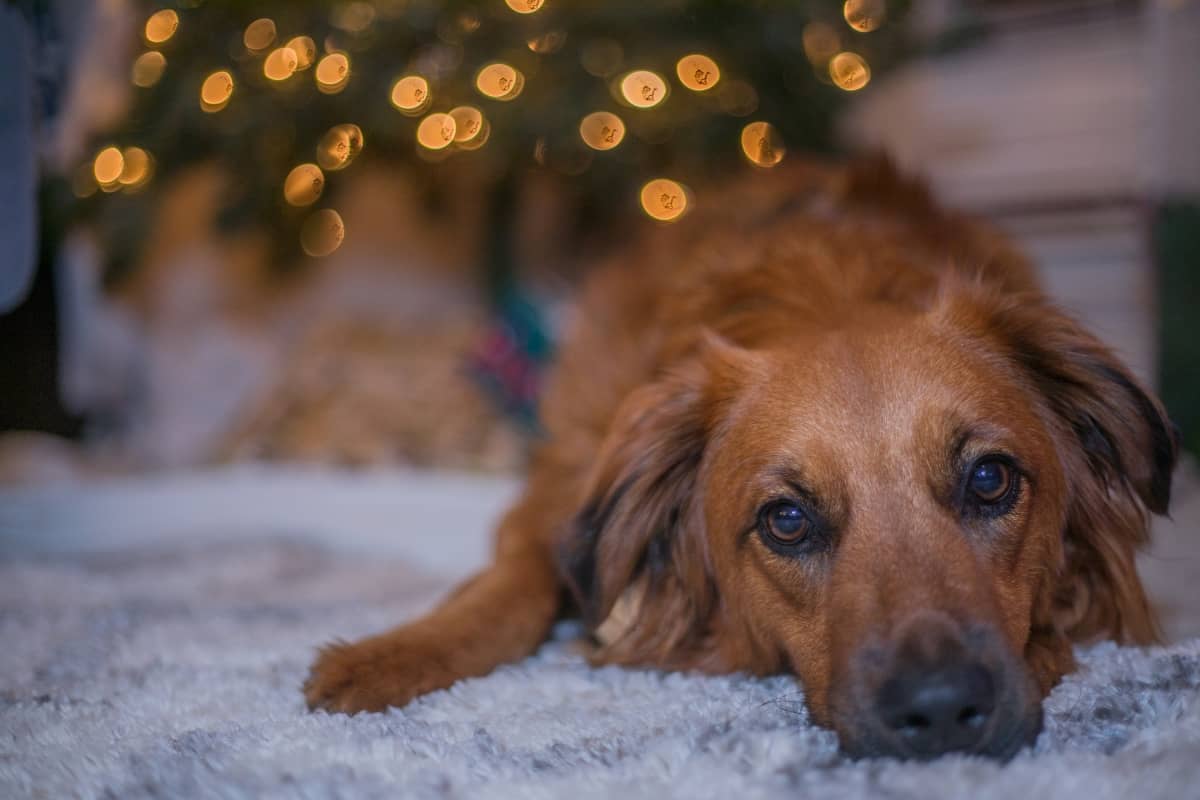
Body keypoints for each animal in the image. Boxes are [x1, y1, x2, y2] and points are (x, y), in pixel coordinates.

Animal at [302, 158, 1180, 762]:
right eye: (786, 520)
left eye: (990, 480)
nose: (938, 710)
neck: (825, 287)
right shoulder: (556, 493)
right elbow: (511, 588)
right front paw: (385, 658)